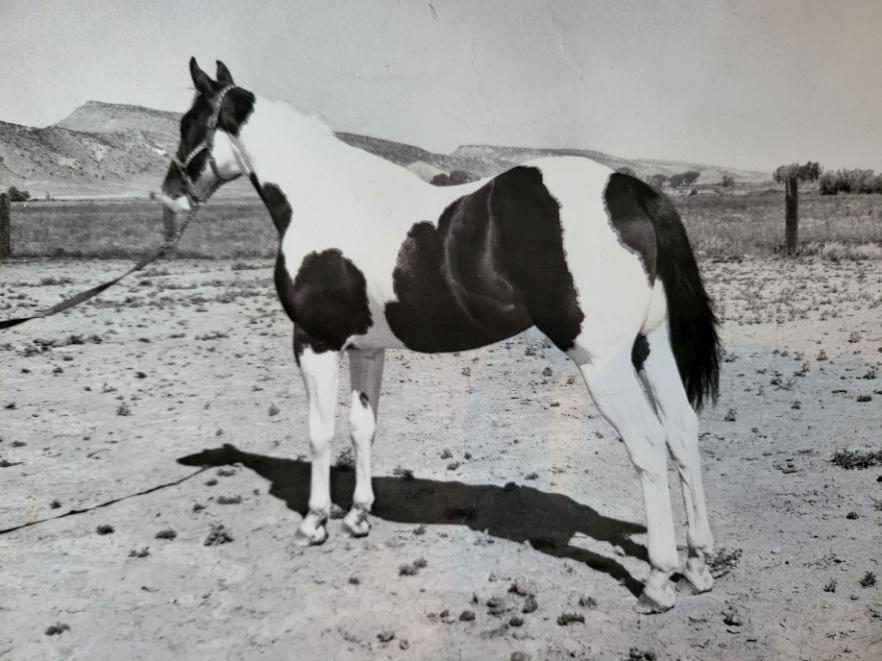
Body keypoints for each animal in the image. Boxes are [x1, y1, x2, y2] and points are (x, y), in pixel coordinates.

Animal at [160, 58, 721, 613]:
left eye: (189, 122)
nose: (169, 196)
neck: (324, 197)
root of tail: (629, 189)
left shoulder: (313, 341)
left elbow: (319, 432)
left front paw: (314, 522)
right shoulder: (366, 348)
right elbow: (362, 427)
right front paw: (358, 515)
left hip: (603, 360)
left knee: (648, 443)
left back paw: (658, 580)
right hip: (651, 346)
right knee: (681, 429)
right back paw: (696, 565)